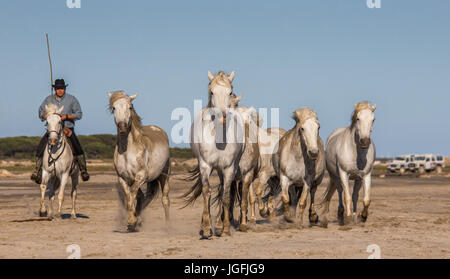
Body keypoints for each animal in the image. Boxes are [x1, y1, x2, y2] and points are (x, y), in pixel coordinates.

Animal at [108, 91, 171, 232]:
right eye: (114, 108)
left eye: (130, 107)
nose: (122, 126)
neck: (127, 152)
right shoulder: (123, 179)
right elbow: (129, 197)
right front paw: (133, 221)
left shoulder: (141, 176)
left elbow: (132, 194)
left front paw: (132, 221)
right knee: (144, 197)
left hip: (164, 176)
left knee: (164, 199)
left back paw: (167, 225)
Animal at [183, 71, 244, 240]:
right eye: (211, 92)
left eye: (230, 92)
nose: (221, 116)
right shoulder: (205, 166)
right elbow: (206, 192)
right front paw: (205, 228)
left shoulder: (229, 169)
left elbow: (226, 196)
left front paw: (225, 229)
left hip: (223, 170)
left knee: (223, 189)